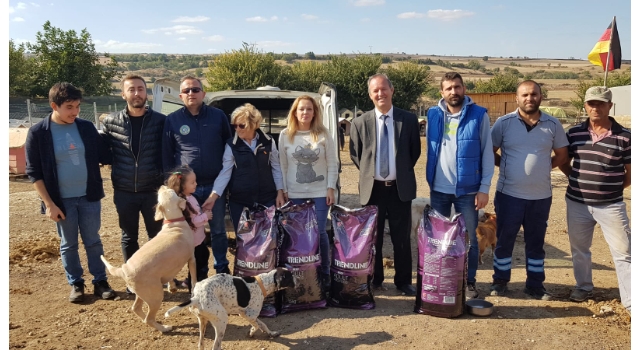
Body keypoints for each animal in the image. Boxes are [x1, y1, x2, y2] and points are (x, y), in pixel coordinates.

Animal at [99, 185, 195, 332]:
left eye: (164, 192)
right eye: (171, 191)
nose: (162, 185)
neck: (173, 223)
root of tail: (124, 270)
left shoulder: (171, 267)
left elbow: (171, 277)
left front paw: (172, 287)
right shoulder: (192, 258)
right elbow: (194, 278)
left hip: (143, 294)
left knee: (136, 309)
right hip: (156, 296)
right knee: (149, 318)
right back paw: (164, 328)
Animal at [165, 268, 296, 350]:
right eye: (290, 277)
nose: (298, 282)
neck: (262, 283)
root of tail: (196, 297)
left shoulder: (246, 314)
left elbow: (262, 325)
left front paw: (271, 333)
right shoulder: (248, 315)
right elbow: (258, 325)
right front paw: (252, 332)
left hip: (202, 322)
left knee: (201, 345)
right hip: (222, 320)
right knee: (216, 346)